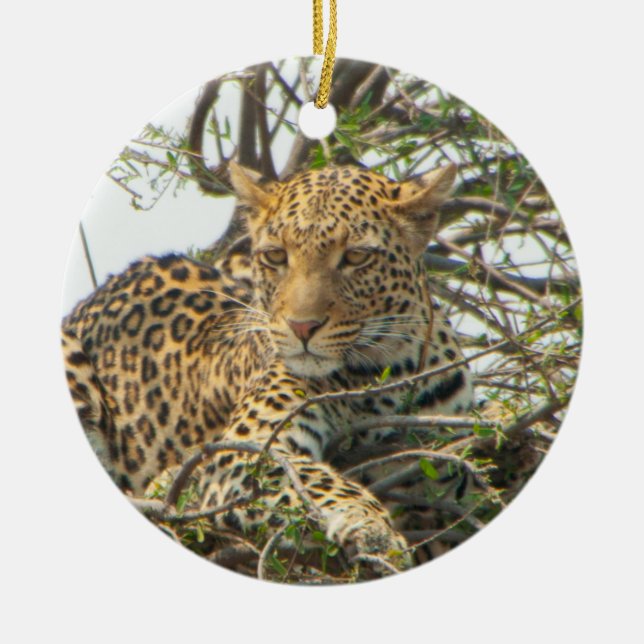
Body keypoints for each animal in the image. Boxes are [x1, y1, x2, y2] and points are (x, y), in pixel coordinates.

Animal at [62, 161, 474, 573]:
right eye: (276, 256)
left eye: (357, 257)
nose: (302, 327)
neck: (390, 371)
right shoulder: (243, 452)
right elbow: (314, 479)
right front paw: (372, 529)